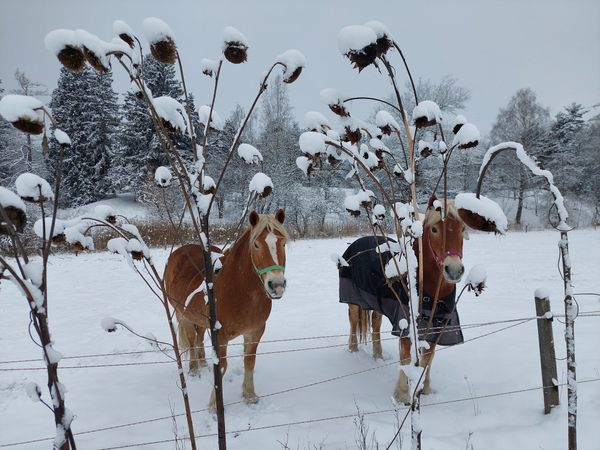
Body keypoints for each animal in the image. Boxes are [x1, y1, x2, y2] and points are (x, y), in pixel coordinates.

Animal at [163, 209, 288, 410]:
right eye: (256, 245)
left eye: (283, 243)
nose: (276, 285)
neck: (241, 290)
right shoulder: (220, 336)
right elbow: (222, 366)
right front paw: (214, 405)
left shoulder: (255, 332)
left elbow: (249, 362)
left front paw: (249, 396)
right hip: (184, 317)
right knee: (190, 341)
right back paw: (193, 370)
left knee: (198, 338)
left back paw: (203, 362)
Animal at [340, 197, 466, 404]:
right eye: (434, 229)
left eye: (462, 228)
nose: (454, 270)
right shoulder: (406, 324)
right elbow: (406, 358)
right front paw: (402, 395)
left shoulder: (437, 326)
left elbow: (427, 359)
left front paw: (425, 389)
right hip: (354, 301)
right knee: (354, 322)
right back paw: (353, 350)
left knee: (375, 324)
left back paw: (378, 355)